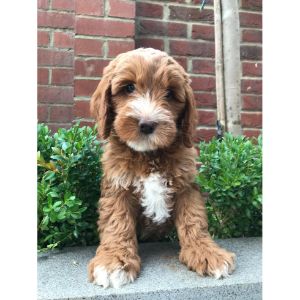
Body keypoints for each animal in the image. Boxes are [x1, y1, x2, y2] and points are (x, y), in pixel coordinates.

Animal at [86, 47, 234, 288]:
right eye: (128, 87)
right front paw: (114, 262)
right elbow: (117, 223)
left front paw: (206, 253)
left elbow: (194, 220)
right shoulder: (117, 187)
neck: (149, 155)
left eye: (170, 94)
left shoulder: (186, 186)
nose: (147, 125)